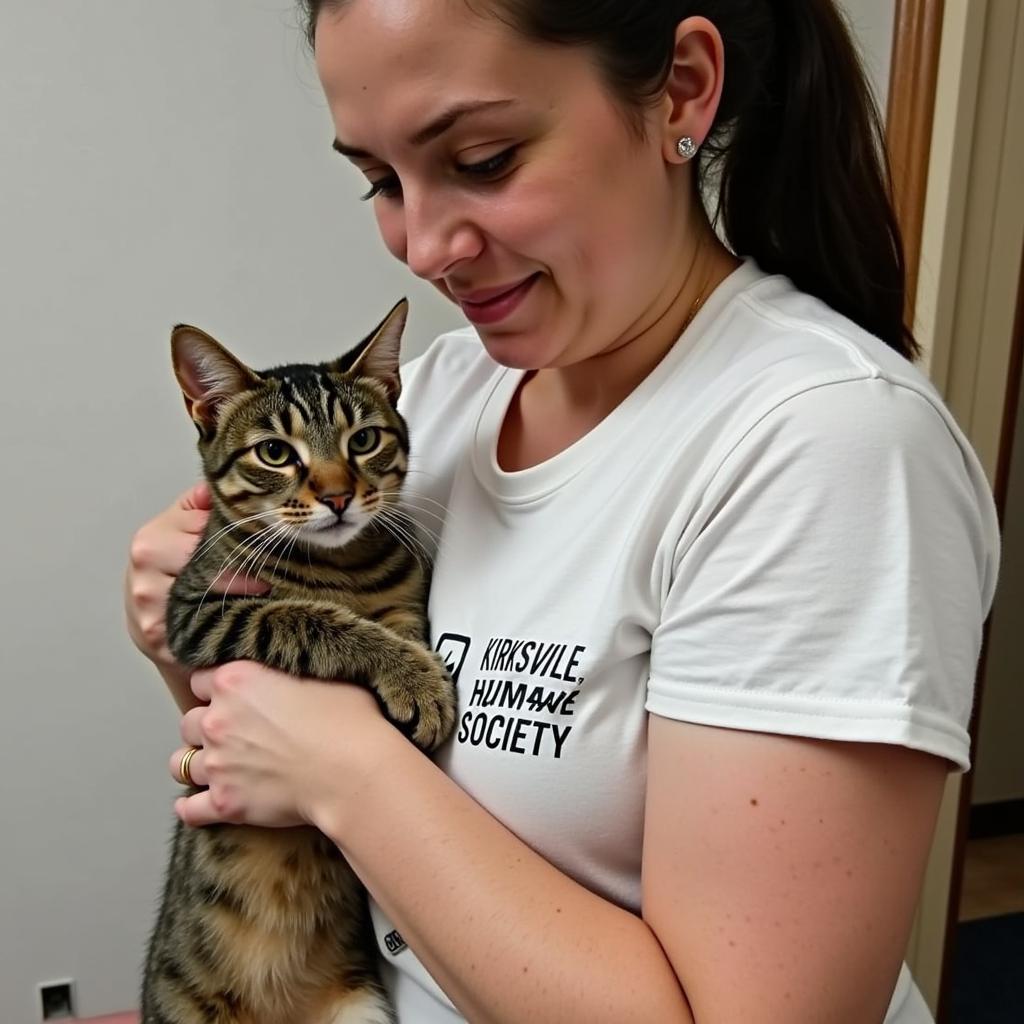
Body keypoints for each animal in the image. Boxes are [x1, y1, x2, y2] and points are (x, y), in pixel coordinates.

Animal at [142, 299, 454, 1024]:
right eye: (275, 453)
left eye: (363, 441)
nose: (339, 496)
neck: (345, 568)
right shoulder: (198, 611)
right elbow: (303, 616)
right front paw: (409, 676)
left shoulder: (404, 596)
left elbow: (405, 624)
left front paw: (417, 676)